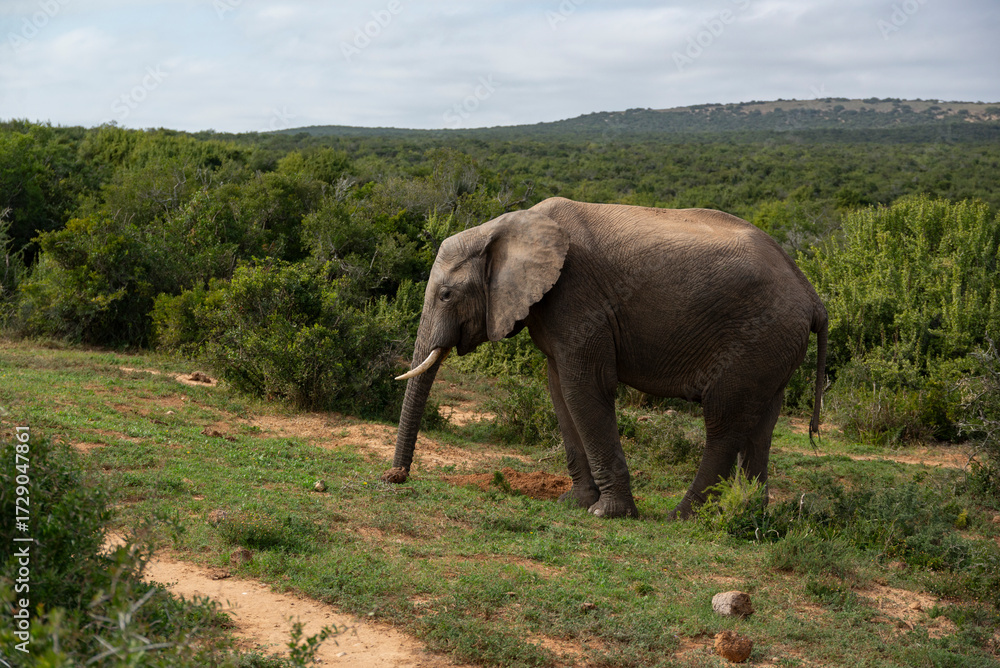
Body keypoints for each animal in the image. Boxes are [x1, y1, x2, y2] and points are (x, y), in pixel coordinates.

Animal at [383, 197, 827, 519]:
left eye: (446, 295)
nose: (395, 477)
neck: (505, 226)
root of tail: (811, 294)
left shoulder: (578, 297)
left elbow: (585, 387)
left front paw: (606, 513)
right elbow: (560, 391)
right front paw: (574, 503)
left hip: (754, 339)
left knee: (724, 423)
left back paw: (682, 516)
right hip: (772, 347)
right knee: (762, 426)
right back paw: (746, 516)